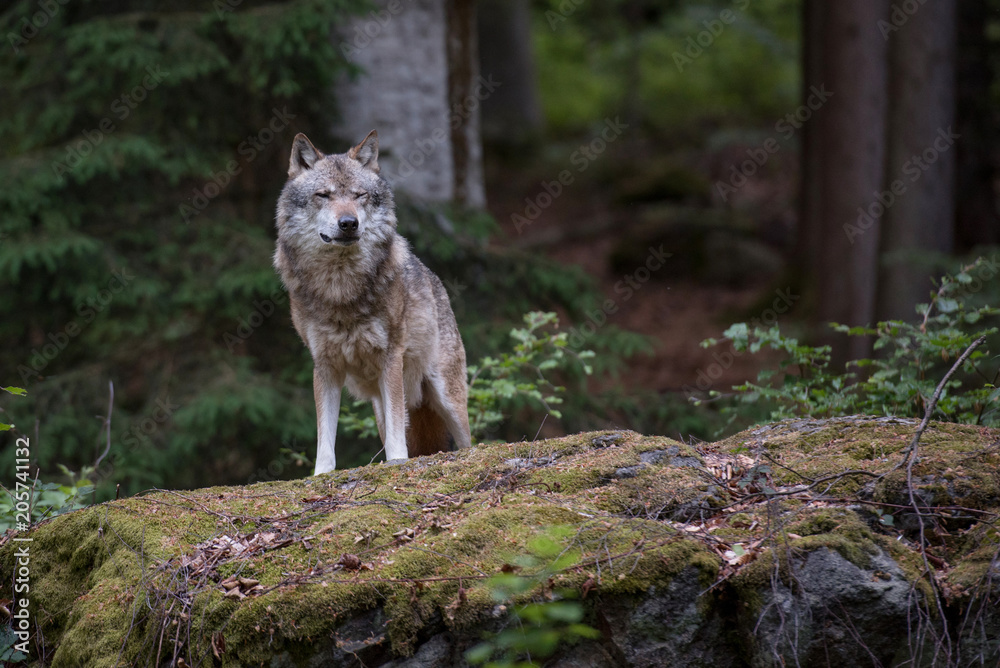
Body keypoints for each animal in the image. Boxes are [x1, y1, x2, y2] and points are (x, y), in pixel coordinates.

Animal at [274, 130, 472, 474]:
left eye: (359, 195)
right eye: (323, 195)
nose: (348, 223)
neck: (340, 288)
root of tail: (436, 282)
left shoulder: (390, 358)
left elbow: (396, 435)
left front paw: (397, 463)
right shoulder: (324, 366)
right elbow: (325, 436)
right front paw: (321, 474)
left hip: (446, 396)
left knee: (468, 442)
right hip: (382, 404)